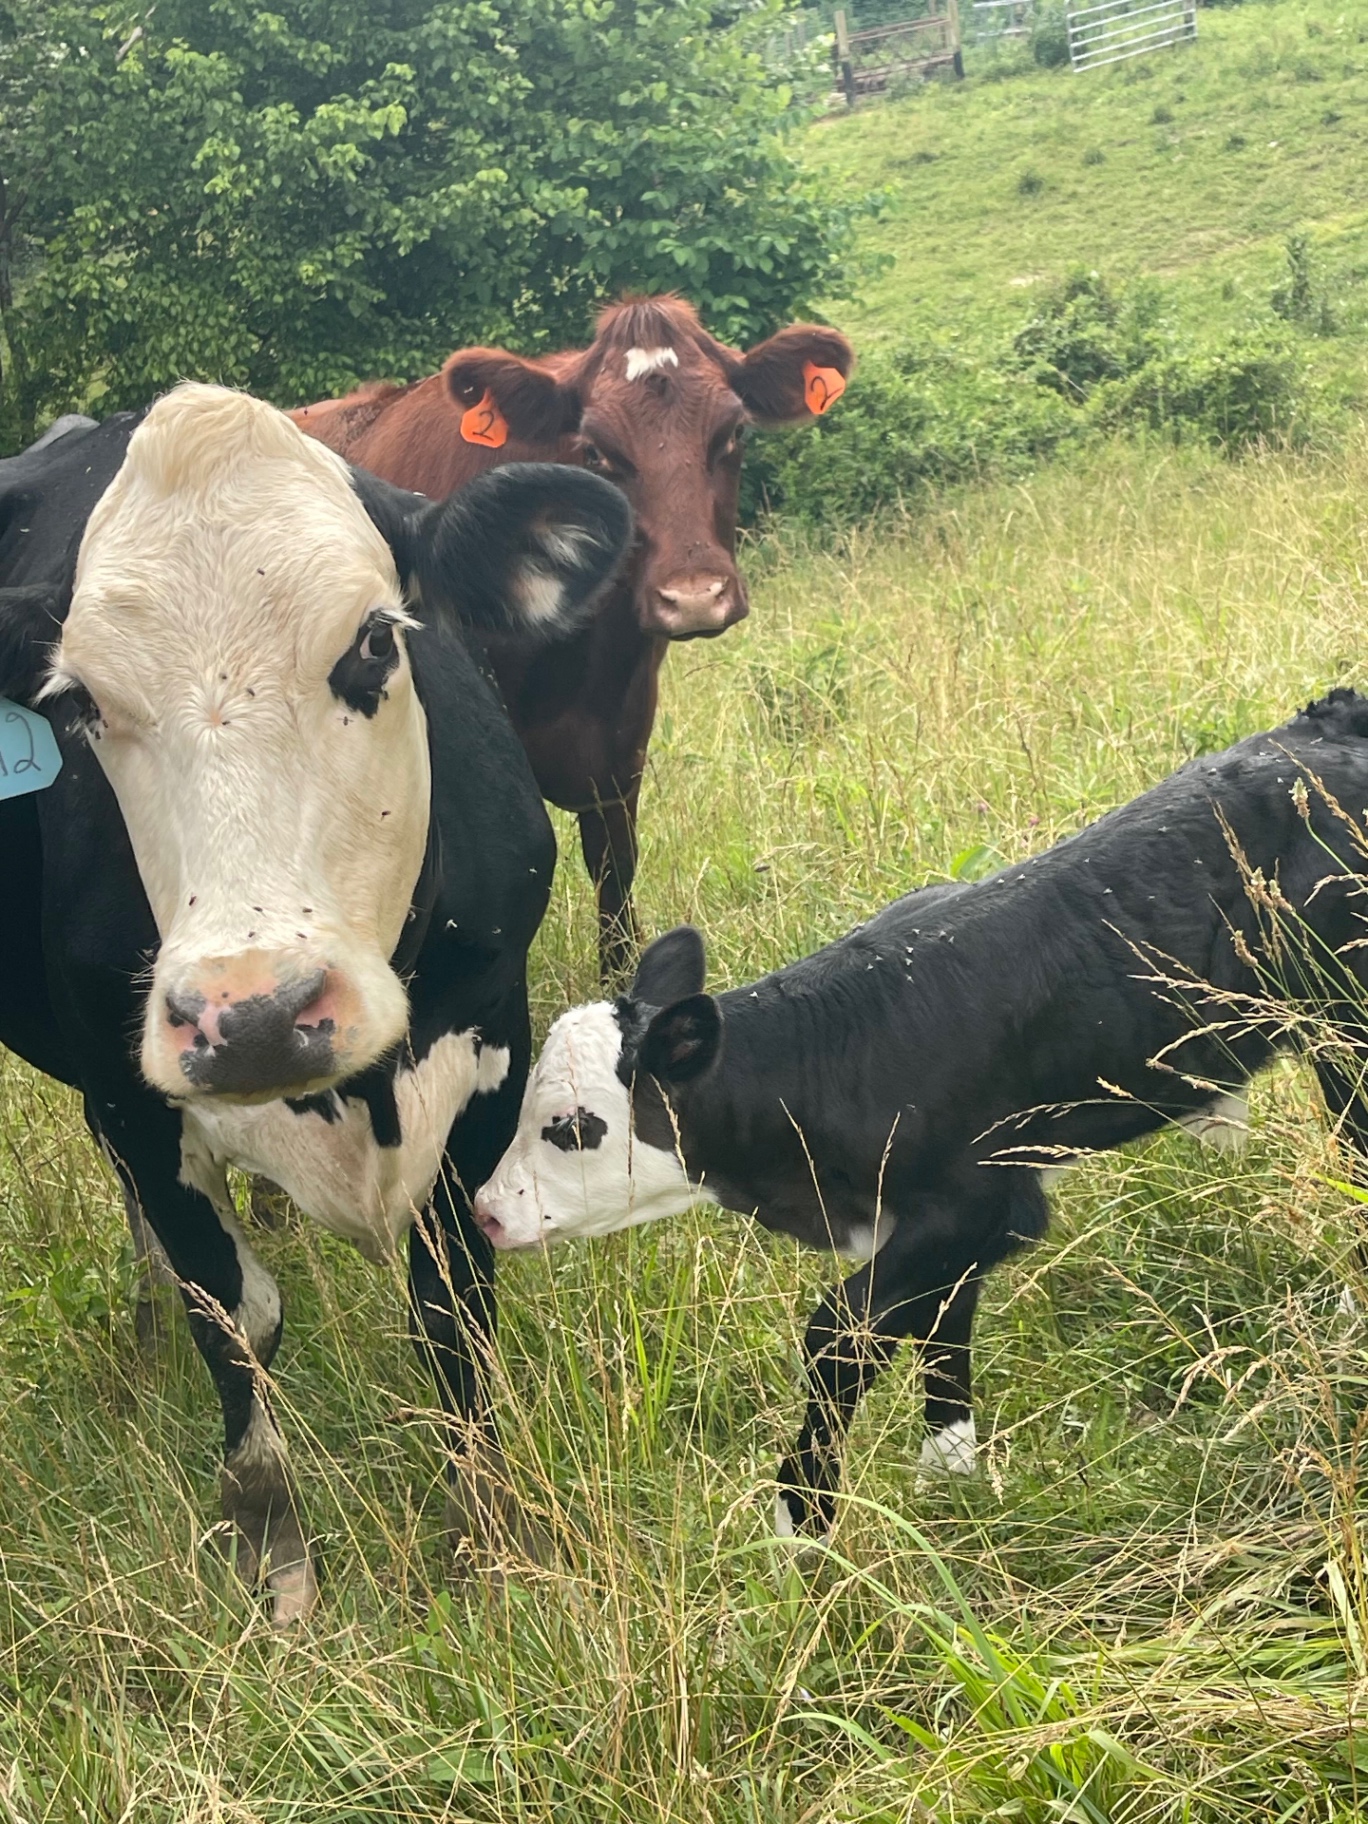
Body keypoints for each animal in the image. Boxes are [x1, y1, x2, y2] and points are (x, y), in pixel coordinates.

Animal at [0, 385, 632, 1623]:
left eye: (376, 641)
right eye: (77, 700)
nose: (254, 1017)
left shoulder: (493, 1037)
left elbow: (453, 1294)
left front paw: (487, 1532)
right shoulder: (132, 1085)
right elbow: (235, 1315)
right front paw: (277, 1560)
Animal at [473, 692, 1368, 1538]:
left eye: (573, 1127)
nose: (484, 1212)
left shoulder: (984, 1200)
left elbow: (838, 1334)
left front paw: (802, 1521)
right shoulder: (941, 1228)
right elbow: (941, 1333)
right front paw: (953, 1476)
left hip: (1344, 1026)